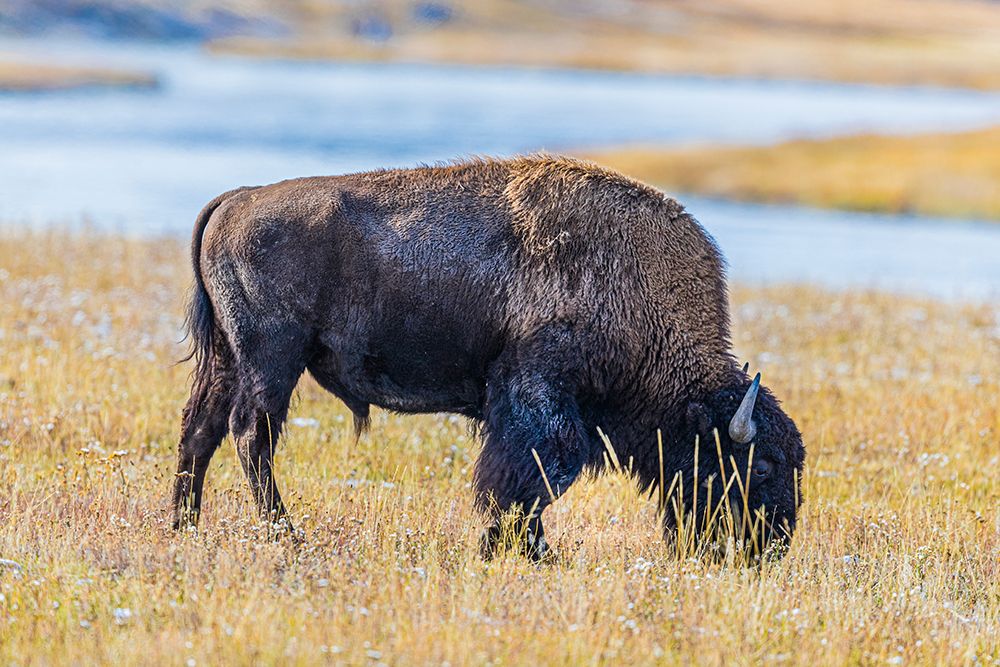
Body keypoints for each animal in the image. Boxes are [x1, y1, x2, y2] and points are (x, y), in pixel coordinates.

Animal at [171, 155, 805, 558]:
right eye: (762, 467)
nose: (772, 546)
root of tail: (238, 199)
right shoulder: (540, 400)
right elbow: (532, 477)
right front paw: (515, 549)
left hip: (228, 359)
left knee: (201, 430)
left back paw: (184, 524)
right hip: (271, 359)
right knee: (251, 434)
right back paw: (285, 534)